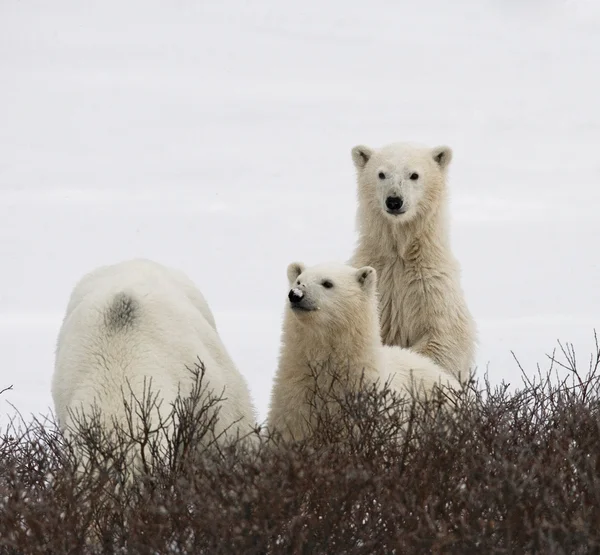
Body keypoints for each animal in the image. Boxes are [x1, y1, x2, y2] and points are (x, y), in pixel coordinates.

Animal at [350, 141, 476, 382]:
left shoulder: (431, 286)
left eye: (414, 175)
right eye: (381, 174)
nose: (394, 201)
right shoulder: (380, 284)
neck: (400, 255)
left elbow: (444, 338)